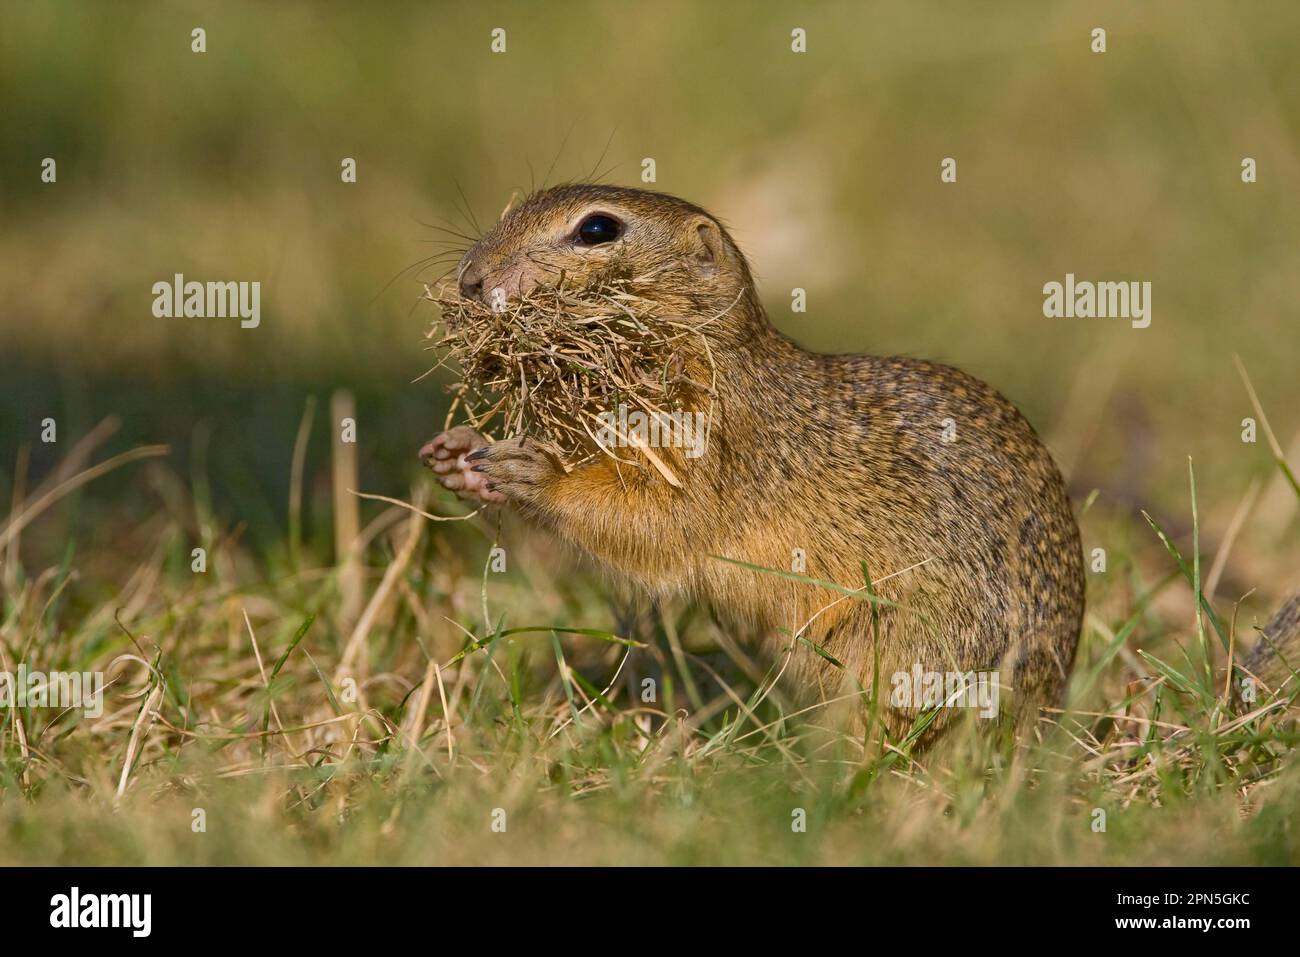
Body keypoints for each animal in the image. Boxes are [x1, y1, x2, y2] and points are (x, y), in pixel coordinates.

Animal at [423, 184, 1086, 738]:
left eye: (597, 229)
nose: (471, 278)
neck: (716, 359)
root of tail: (1043, 713)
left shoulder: (711, 456)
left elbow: (653, 524)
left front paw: (537, 475)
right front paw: (457, 455)